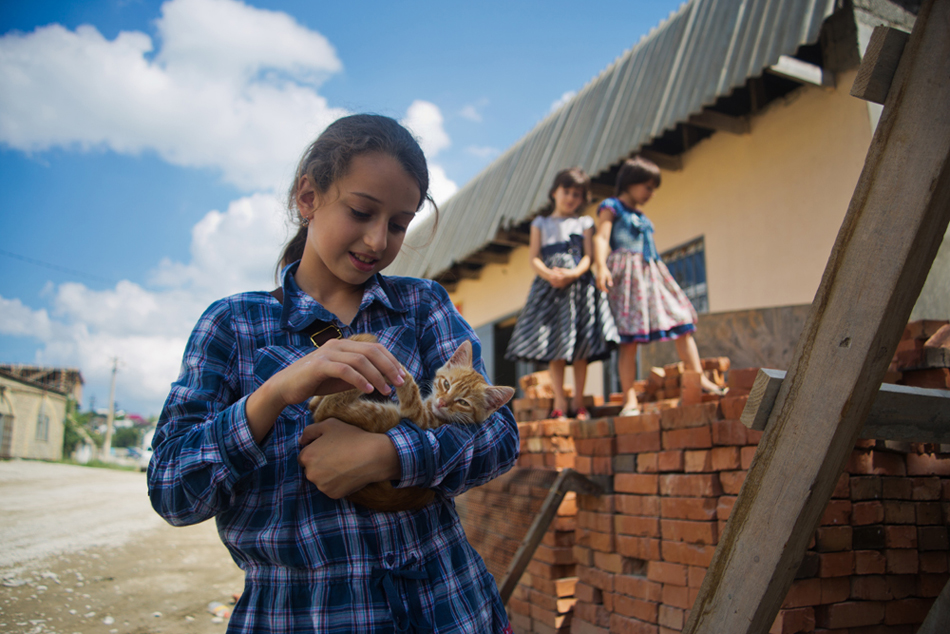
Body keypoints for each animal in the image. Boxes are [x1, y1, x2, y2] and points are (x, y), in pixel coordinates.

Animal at [308, 334, 516, 512]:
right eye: (446, 384)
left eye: (463, 403)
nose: (442, 402)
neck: (432, 409)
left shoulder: (419, 417)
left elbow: (409, 387)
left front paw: (394, 368)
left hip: (383, 415)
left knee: (326, 409)